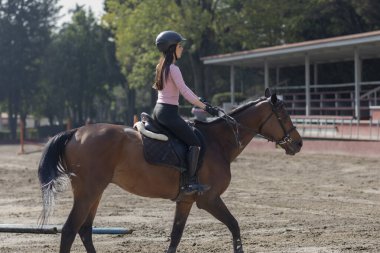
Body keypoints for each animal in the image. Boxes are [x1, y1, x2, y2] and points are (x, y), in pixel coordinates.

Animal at [37, 88, 302, 251]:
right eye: (283, 114)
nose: (299, 143)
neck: (218, 141)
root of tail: (76, 132)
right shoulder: (209, 199)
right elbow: (234, 225)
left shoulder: (185, 201)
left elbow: (175, 236)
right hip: (88, 192)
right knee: (70, 231)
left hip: (95, 193)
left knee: (84, 230)